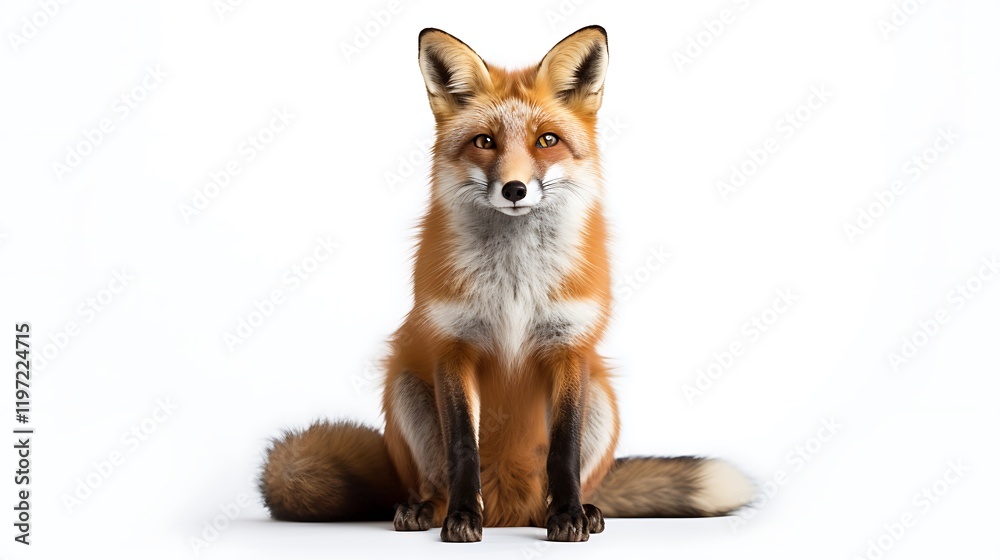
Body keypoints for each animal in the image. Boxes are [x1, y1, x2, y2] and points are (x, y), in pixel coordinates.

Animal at [259, 25, 755, 542]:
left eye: (547, 140)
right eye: (484, 141)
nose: (514, 189)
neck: (515, 284)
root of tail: (508, 510)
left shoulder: (568, 347)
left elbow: (563, 450)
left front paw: (568, 517)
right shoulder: (453, 347)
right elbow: (463, 448)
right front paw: (461, 518)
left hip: (602, 398)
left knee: (555, 486)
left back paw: (576, 510)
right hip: (405, 389)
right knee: (437, 481)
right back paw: (428, 509)